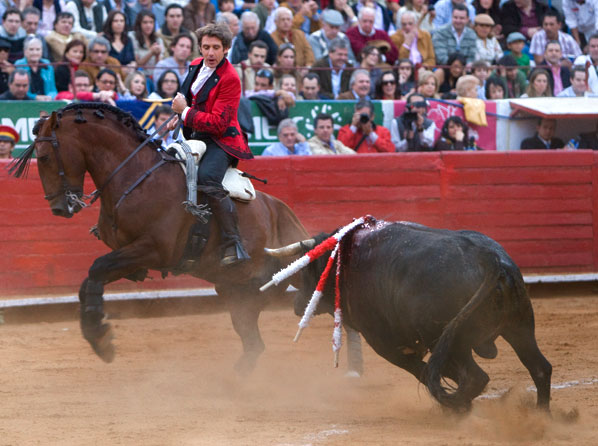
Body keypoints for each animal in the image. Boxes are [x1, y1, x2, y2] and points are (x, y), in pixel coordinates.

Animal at [12, 102, 312, 372]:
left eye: (44, 157)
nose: (59, 208)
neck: (134, 176)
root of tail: (285, 212)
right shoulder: (129, 256)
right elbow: (90, 278)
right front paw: (98, 336)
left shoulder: (155, 250)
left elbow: (96, 268)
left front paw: (99, 334)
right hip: (237, 291)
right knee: (253, 343)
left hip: (288, 269)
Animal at [282, 220, 552, 412]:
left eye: (306, 272)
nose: (297, 304)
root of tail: (488, 258)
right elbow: (437, 372)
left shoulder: (386, 344)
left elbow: (423, 371)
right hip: (519, 326)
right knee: (539, 368)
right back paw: (542, 417)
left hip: (452, 341)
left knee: (474, 378)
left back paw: (457, 409)